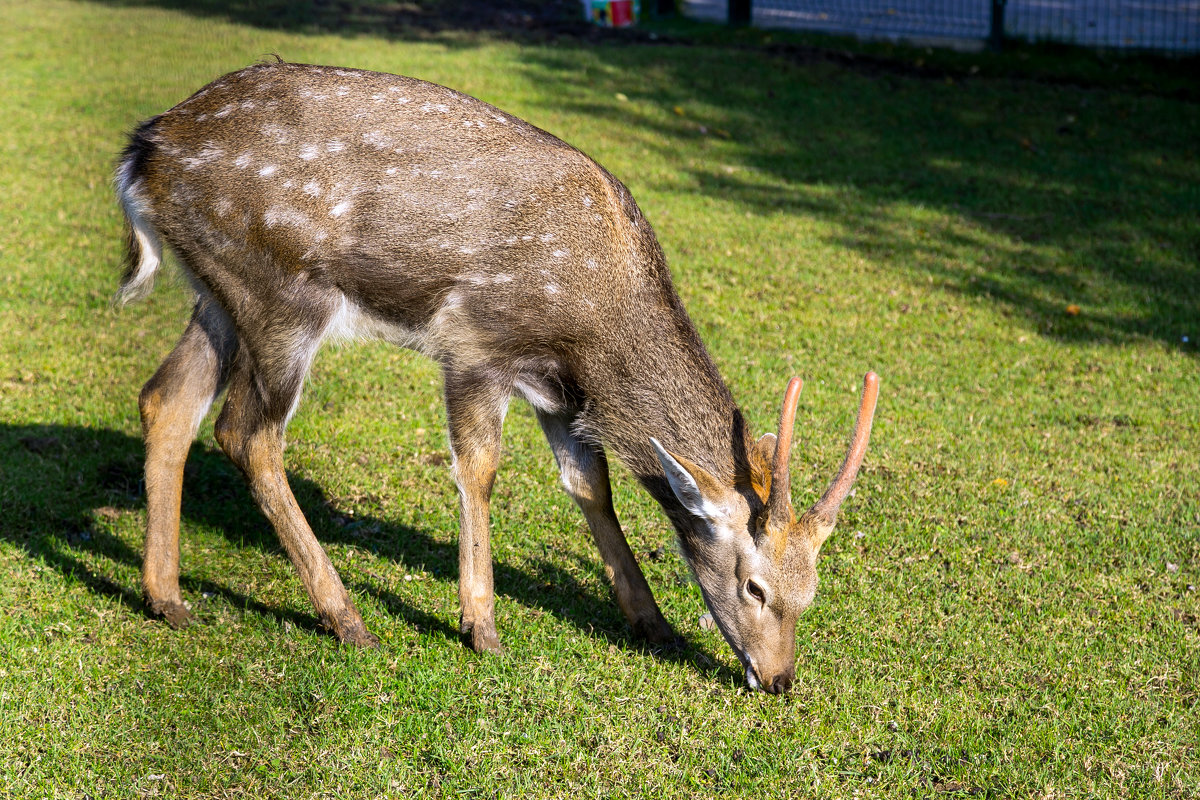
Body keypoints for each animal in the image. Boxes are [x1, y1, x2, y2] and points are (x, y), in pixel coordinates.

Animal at [114, 61, 883, 695]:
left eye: (811, 592)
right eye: (755, 588)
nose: (779, 679)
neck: (593, 328)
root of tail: (143, 153)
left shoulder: (560, 392)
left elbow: (589, 484)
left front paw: (651, 620)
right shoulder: (476, 345)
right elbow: (479, 469)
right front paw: (480, 625)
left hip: (219, 294)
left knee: (166, 400)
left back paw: (167, 598)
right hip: (281, 295)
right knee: (246, 433)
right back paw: (346, 617)